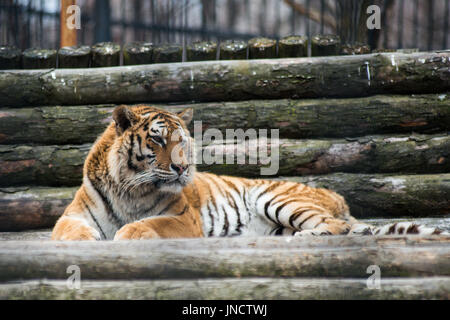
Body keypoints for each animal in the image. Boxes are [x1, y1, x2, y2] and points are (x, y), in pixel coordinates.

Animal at [51, 105, 444, 240]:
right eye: (159, 140)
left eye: (183, 141)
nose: (182, 167)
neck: (128, 189)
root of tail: (339, 197)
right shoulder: (73, 216)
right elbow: (69, 232)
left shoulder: (181, 218)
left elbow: (145, 225)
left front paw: (127, 234)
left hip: (277, 198)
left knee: (338, 226)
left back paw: (309, 236)